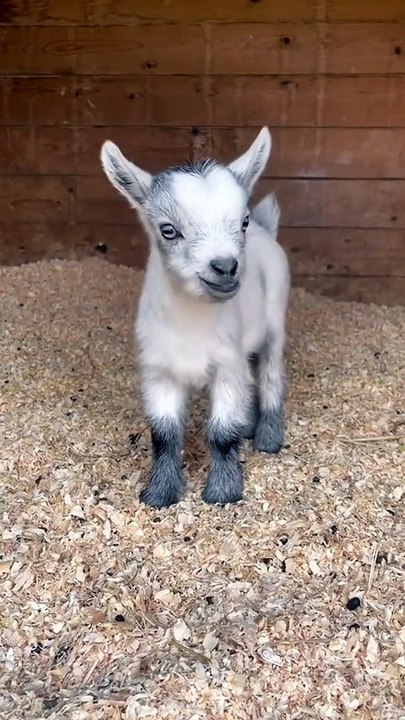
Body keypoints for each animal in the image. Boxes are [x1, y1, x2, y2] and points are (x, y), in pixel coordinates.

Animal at [100, 127, 290, 508]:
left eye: (242, 222)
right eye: (168, 230)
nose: (226, 267)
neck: (192, 324)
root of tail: (266, 229)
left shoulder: (226, 367)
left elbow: (222, 433)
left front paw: (223, 492)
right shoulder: (159, 371)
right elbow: (164, 434)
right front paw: (159, 493)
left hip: (275, 323)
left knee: (270, 375)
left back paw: (267, 437)